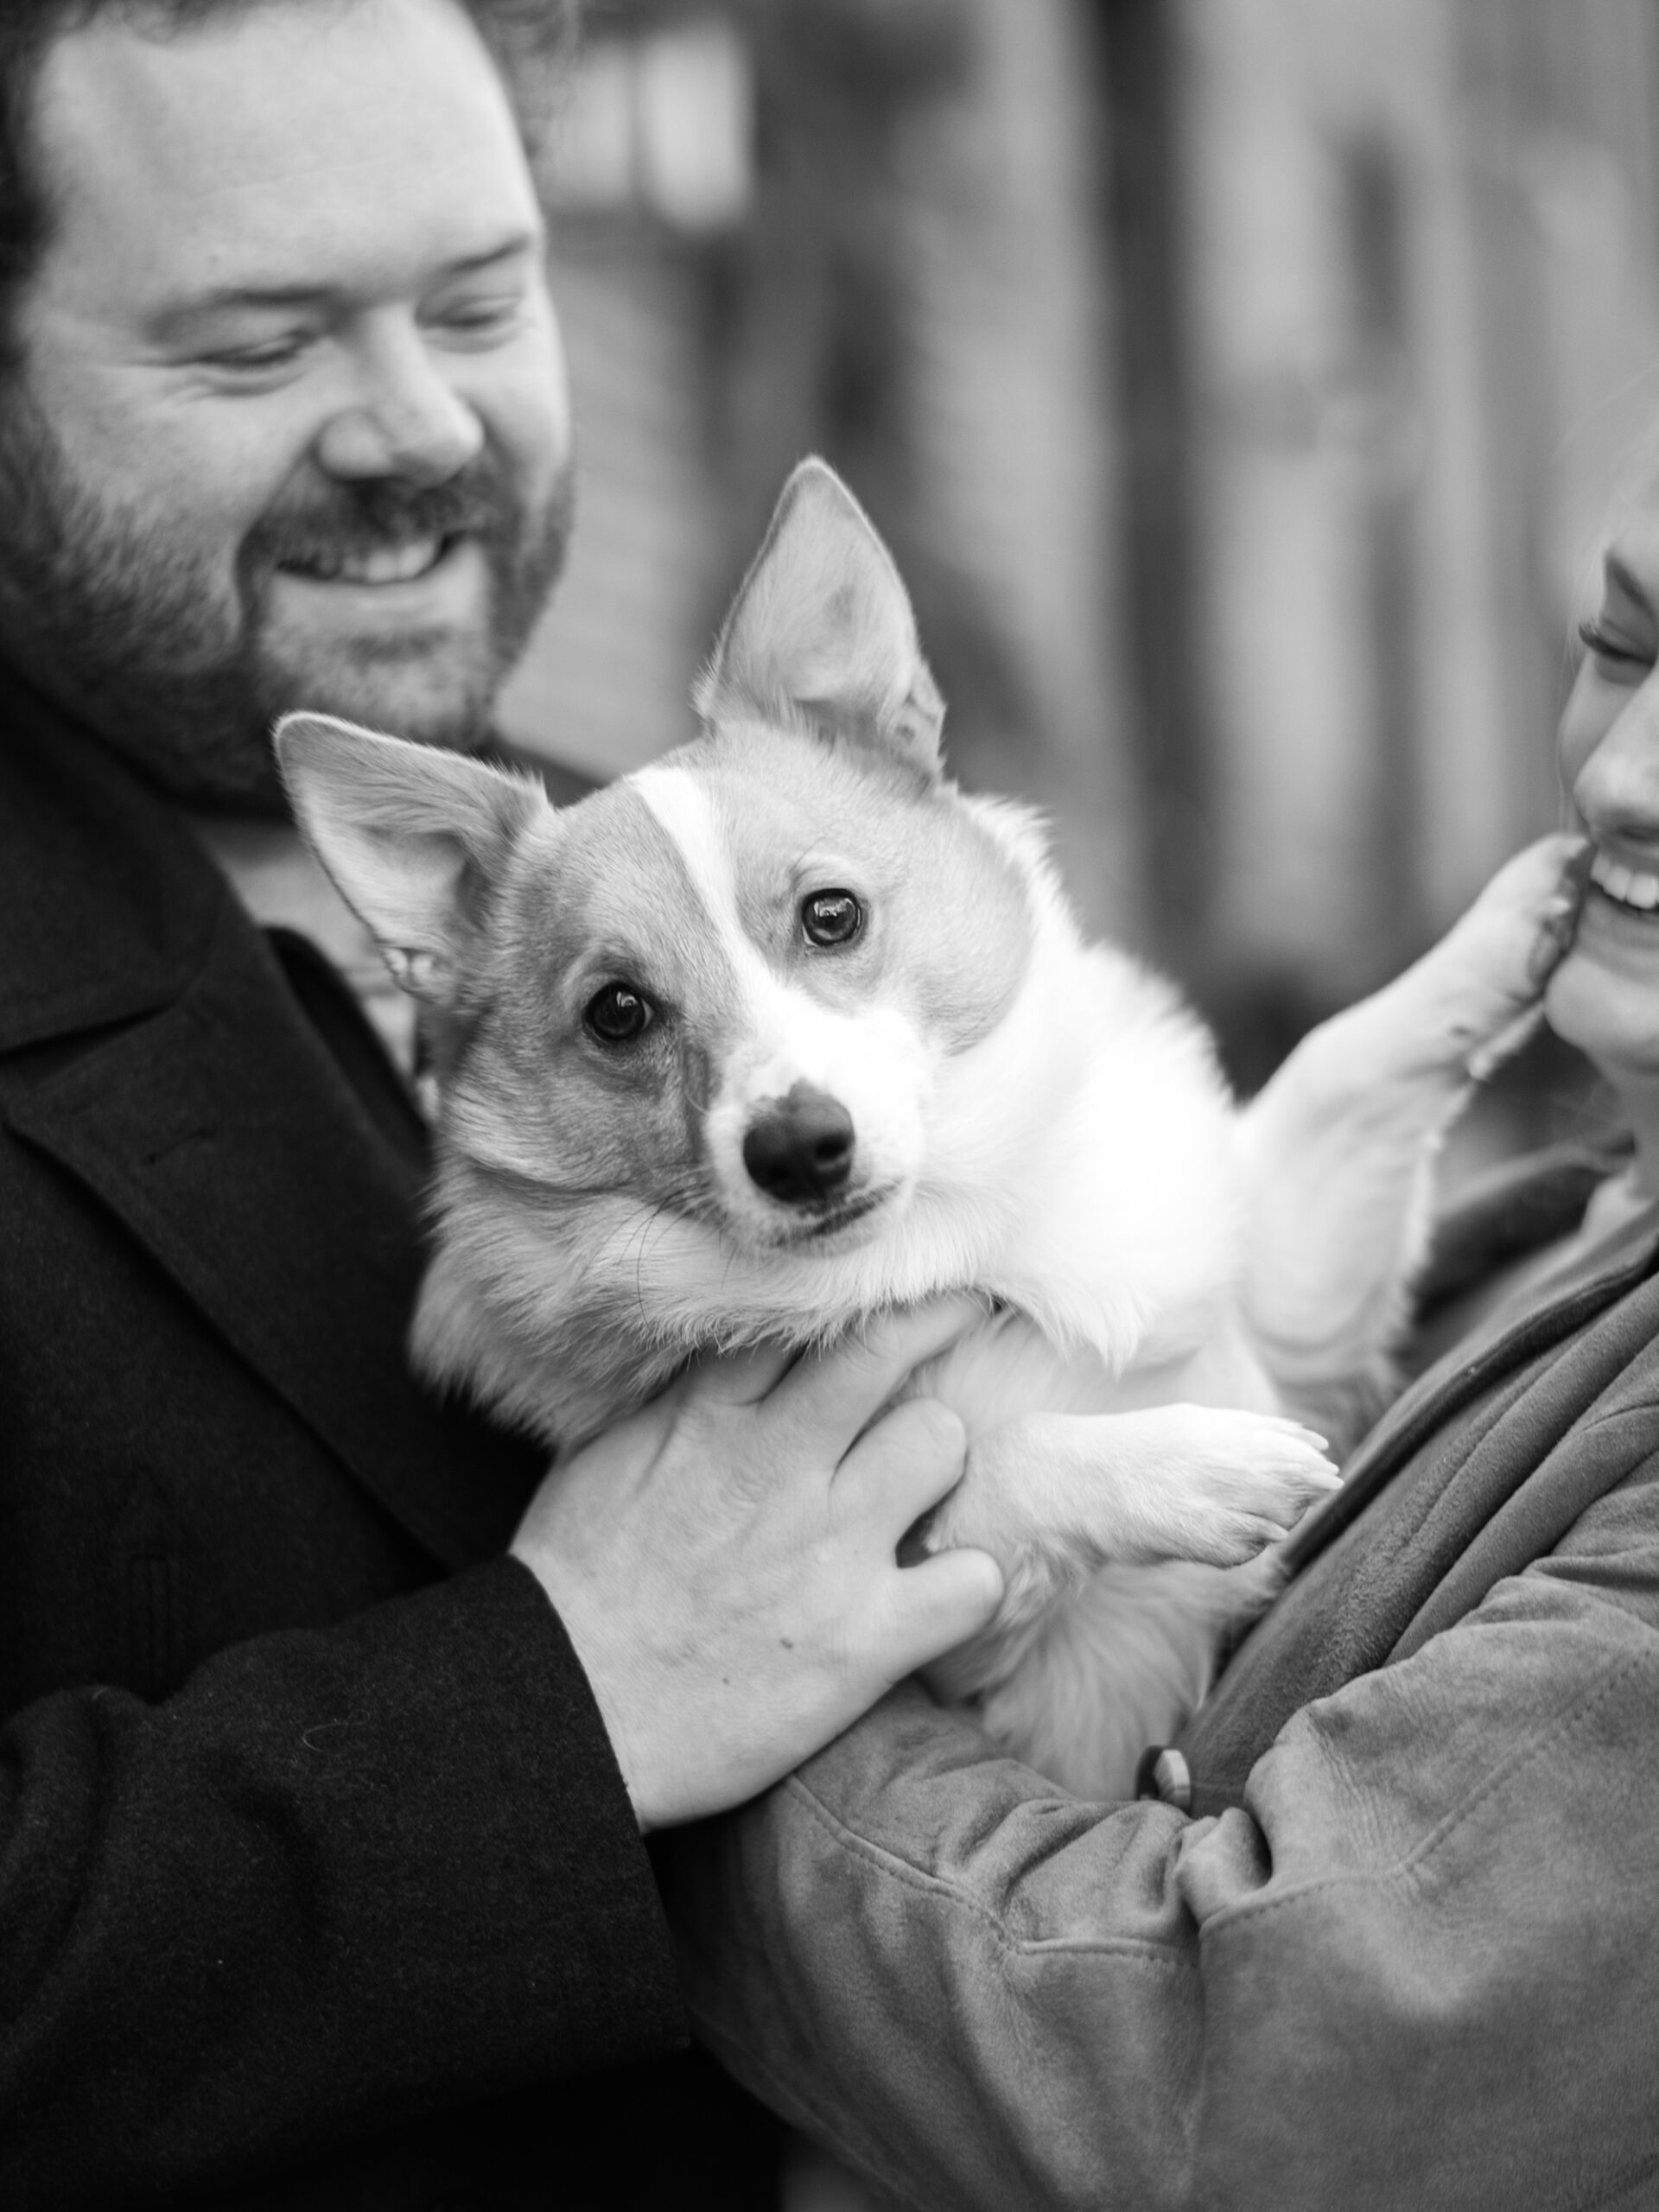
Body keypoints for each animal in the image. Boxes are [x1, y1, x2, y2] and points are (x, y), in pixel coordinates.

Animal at [273, 453, 1583, 1796]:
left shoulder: (1295, 1317)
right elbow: (1005, 1458)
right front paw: (1199, 1466)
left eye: (832, 915)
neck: (962, 1231)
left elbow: (1342, 1060)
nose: (799, 1150)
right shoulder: (926, 1612)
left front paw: (1534, 906)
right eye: (619, 1012)